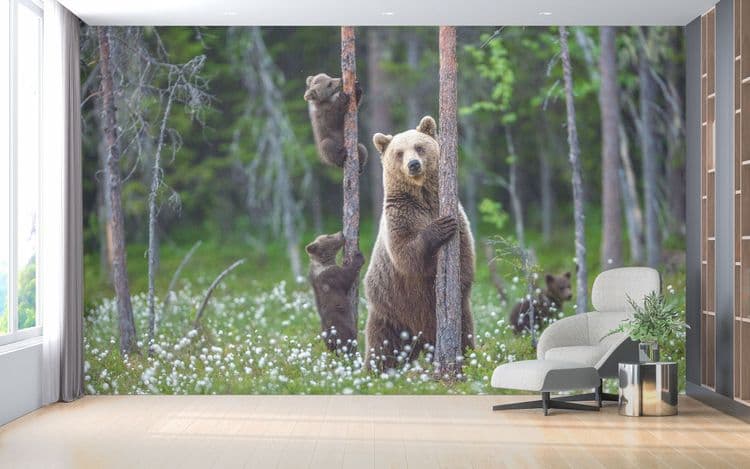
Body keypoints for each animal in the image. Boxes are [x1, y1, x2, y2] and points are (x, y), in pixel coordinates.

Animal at [363, 116, 476, 371]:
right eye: (399, 152)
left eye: (419, 147)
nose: (413, 164)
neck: (422, 197)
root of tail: (421, 338)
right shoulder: (400, 216)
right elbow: (406, 253)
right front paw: (439, 228)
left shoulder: (455, 213)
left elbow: (465, 255)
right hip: (390, 310)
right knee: (382, 346)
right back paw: (373, 372)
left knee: (465, 333)